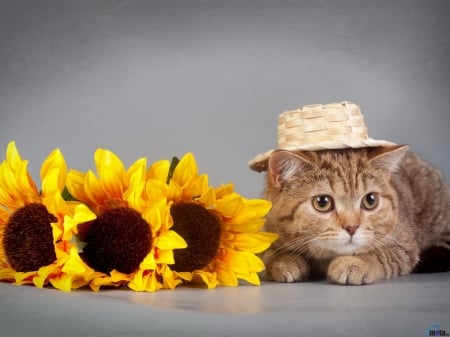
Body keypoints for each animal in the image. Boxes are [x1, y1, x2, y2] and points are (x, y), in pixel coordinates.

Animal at [264, 145, 450, 284]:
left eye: (370, 200)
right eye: (322, 202)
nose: (352, 227)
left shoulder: (405, 246)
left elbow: (379, 254)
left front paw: (355, 263)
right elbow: (271, 254)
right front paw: (285, 261)